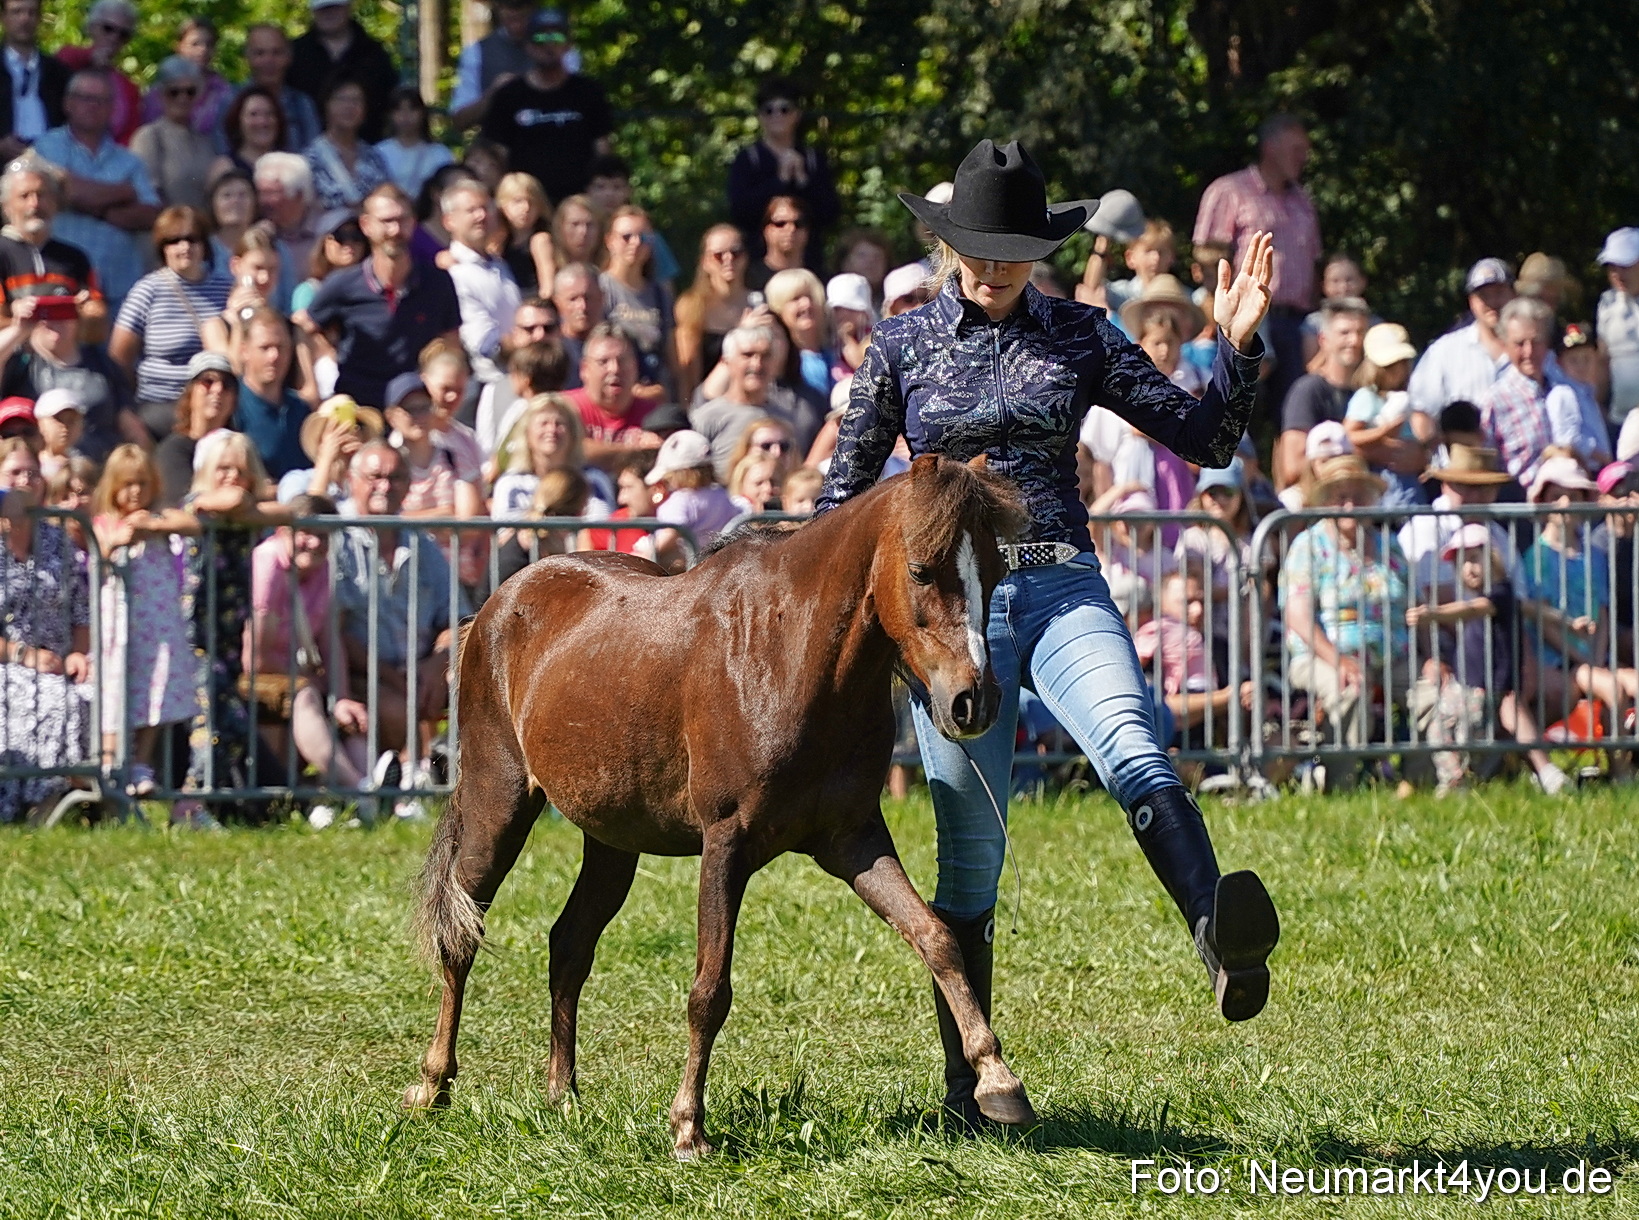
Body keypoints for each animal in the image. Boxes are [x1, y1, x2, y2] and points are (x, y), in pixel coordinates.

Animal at [406, 454, 1036, 1158]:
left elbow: (937, 938)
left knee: (568, 944)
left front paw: (999, 1080)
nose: (974, 701)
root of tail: (494, 608)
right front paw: (688, 1125)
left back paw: (561, 1094)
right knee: (461, 934)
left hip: (613, 841)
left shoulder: (853, 840)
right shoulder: (726, 844)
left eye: (997, 570)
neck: (787, 654)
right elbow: (710, 989)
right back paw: (432, 1085)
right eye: (923, 569)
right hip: (499, 808)